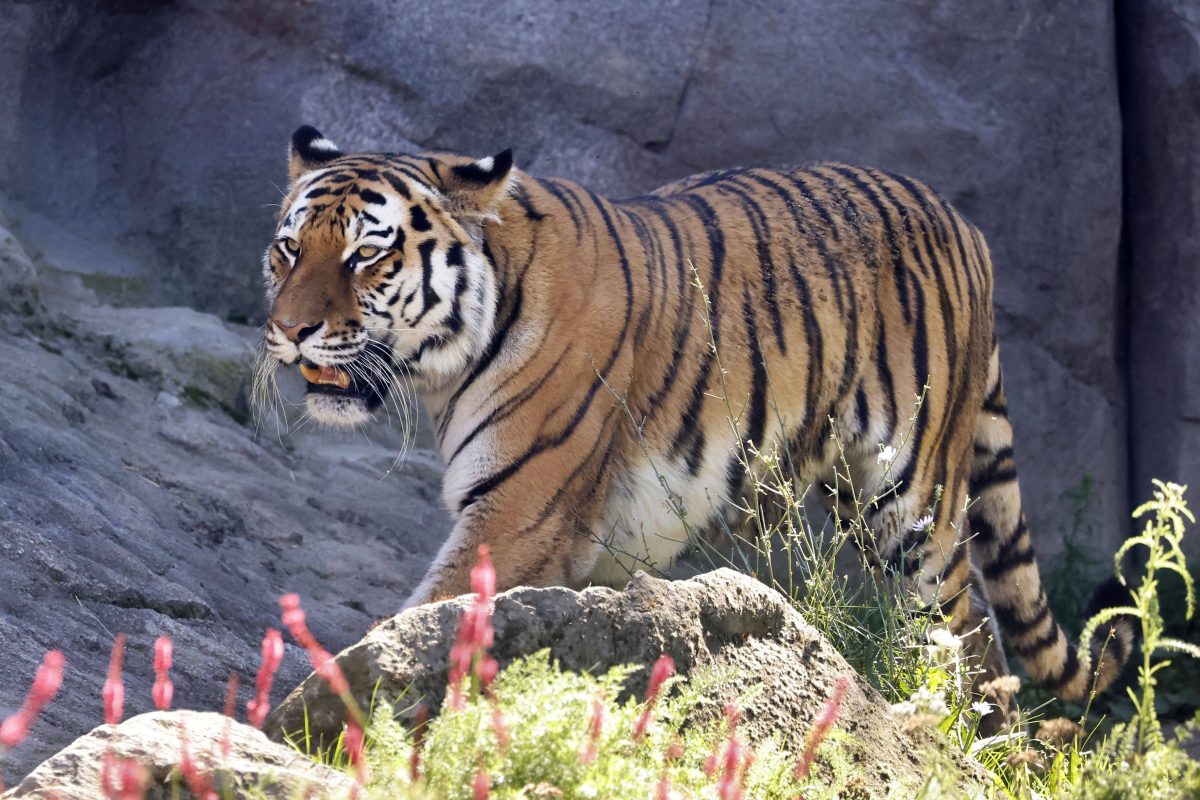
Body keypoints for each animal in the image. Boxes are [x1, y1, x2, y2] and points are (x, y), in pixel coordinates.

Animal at [258, 126, 1128, 705]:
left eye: (367, 255)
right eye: (289, 249)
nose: (290, 330)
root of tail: (966, 223)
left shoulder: (516, 515)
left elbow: (413, 628)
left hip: (915, 503)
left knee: (966, 635)